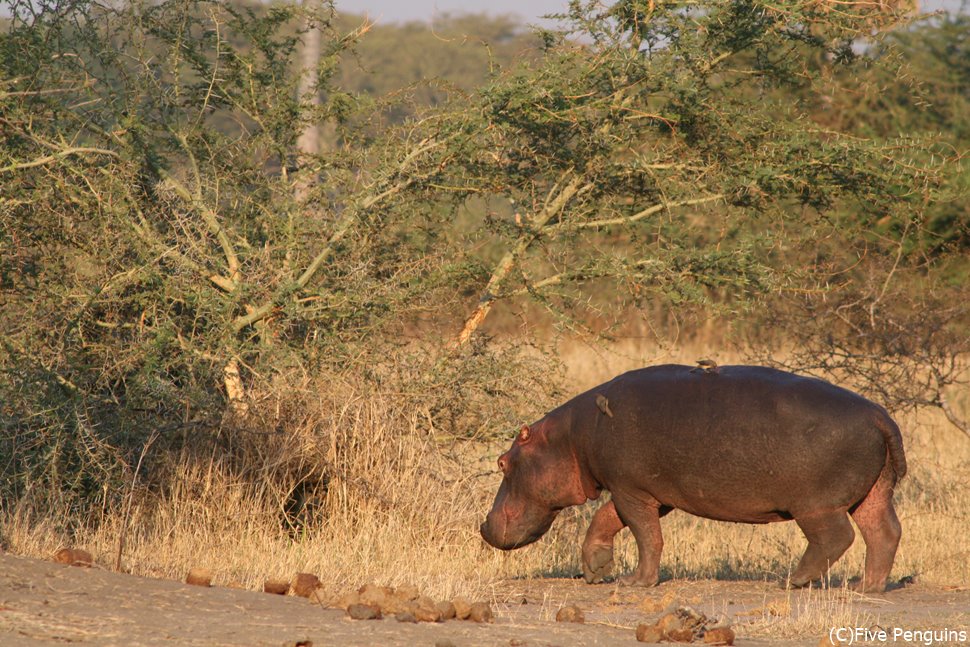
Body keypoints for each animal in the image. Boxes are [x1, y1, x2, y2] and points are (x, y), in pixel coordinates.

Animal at [480, 364, 904, 592]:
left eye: (502, 462)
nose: (483, 526)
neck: (571, 437)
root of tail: (880, 416)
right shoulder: (642, 491)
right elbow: (606, 520)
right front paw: (596, 571)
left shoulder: (631, 490)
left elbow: (645, 535)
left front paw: (636, 583)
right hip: (874, 492)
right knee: (883, 532)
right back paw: (866, 587)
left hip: (817, 506)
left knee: (836, 538)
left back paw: (793, 582)